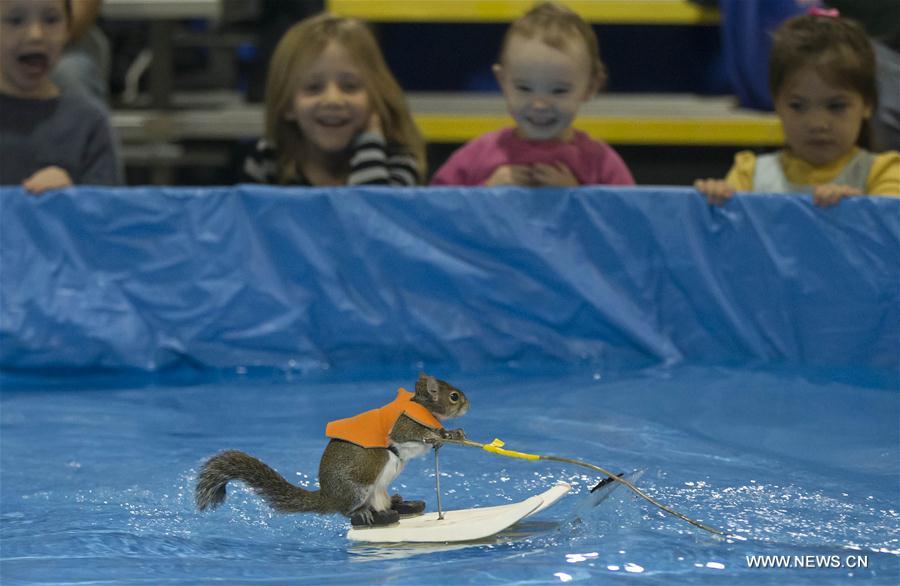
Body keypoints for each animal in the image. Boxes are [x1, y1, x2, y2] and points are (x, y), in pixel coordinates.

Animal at [193, 374, 468, 524]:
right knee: (348, 510)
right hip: (361, 480)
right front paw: (437, 434)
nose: (468, 404)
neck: (421, 406)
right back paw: (364, 513)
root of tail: (329, 496)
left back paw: (398, 503)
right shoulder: (402, 425)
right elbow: (411, 435)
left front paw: (452, 433)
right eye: (454, 396)